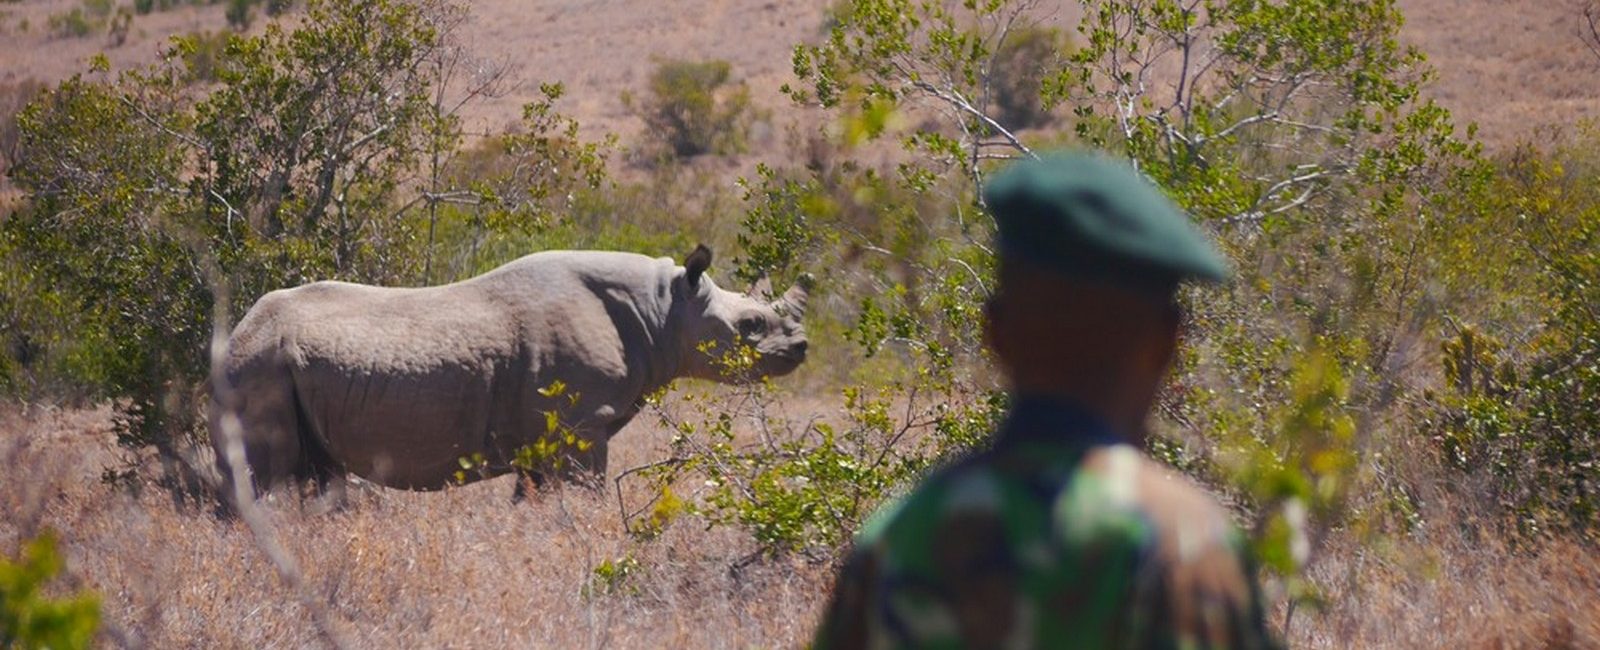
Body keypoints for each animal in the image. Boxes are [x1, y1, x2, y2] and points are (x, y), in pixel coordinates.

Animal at [212, 244, 806, 496]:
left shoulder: (550, 432)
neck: (662, 307)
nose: (801, 347)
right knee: (265, 478)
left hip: (275, 363)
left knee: (316, 475)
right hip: (257, 366)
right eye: (751, 324)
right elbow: (583, 495)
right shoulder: (582, 423)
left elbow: (536, 499)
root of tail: (232, 336)